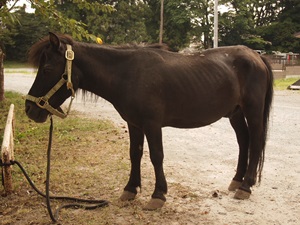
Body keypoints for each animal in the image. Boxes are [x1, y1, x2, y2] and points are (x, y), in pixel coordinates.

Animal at [25, 32, 274, 210]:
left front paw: (158, 195)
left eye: (47, 69)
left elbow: (156, 156)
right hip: (235, 113)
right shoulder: (134, 124)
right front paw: (130, 190)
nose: (30, 109)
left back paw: (246, 186)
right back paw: (236, 181)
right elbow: (135, 154)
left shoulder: (152, 125)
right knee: (244, 142)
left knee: (255, 142)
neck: (128, 74)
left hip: (252, 111)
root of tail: (256, 56)